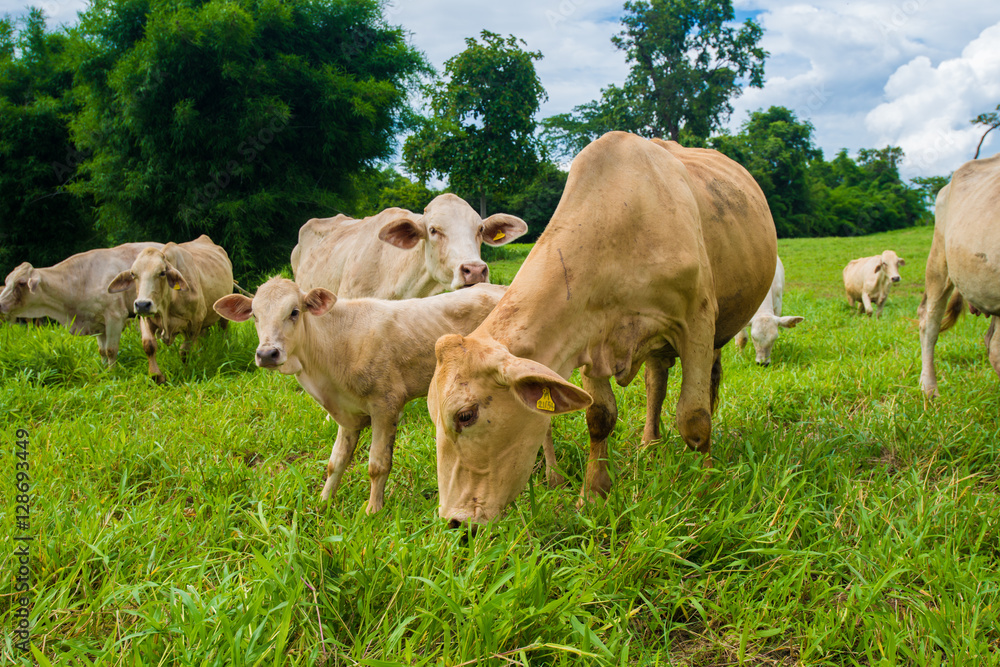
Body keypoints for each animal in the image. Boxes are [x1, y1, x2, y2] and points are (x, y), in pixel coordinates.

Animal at [0, 242, 163, 364]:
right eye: (6, 281)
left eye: (21, 283)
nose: (0, 304)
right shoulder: (97, 324)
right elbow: (102, 351)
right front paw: (104, 372)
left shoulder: (115, 317)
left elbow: (111, 350)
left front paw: (113, 372)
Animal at [107, 235, 233, 383]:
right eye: (133, 274)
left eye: (162, 273)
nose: (142, 304)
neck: (167, 304)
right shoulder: (145, 318)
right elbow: (149, 345)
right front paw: (157, 376)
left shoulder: (195, 321)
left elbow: (185, 351)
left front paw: (186, 372)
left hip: (222, 314)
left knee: (223, 330)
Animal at [213, 279, 561, 513]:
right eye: (254, 316)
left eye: (294, 312)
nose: (267, 353)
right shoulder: (347, 416)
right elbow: (335, 461)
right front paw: (324, 502)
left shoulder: (386, 405)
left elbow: (377, 464)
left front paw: (372, 510)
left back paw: (552, 474)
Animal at [427, 131, 777, 526]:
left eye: (466, 415)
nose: (454, 521)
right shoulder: (586, 335)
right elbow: (599, 416)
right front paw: (594, 494)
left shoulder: (697, 324)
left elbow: (695, 418)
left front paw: (706, 488)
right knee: (656, 382)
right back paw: (650, 444)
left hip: (719, 327)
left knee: (709, 385)